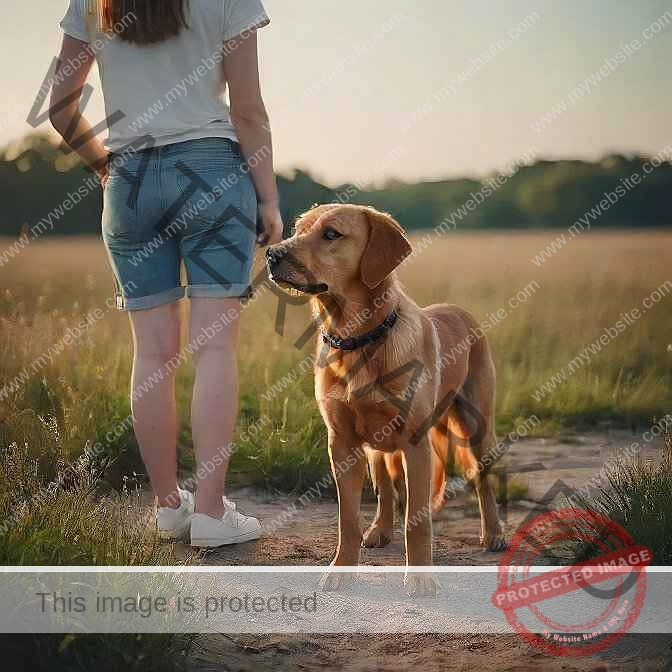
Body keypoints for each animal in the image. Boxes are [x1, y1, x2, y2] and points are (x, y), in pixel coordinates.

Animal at [266, 203, 502, 592]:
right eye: (297, 229)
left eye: (331, 234)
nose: (271, 254)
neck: (357, 339)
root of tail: (459, 309)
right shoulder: (342, 442)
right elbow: (348, 519)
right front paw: (341, 569)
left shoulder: (416, 443)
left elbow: (417, 522)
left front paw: (420, 577)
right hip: (377, 445)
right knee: (386, 488)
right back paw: (379, 529)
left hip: (476, 425)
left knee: (484, 482)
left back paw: (494, 533)